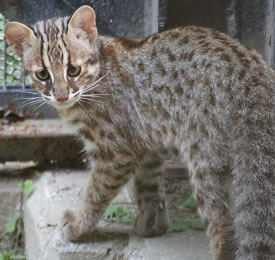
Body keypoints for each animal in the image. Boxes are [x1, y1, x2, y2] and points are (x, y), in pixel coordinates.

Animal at [4, 4, 275, 260]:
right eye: (42, 74)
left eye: (73, 70)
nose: (61, 96)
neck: (97, 73)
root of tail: (253, 78)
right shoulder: (148, 146)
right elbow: (148, 185)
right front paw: (151, 224)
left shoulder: (115, 153)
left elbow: (95, 191)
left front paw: (80, 225)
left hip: (204, 155)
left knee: (223, 225)